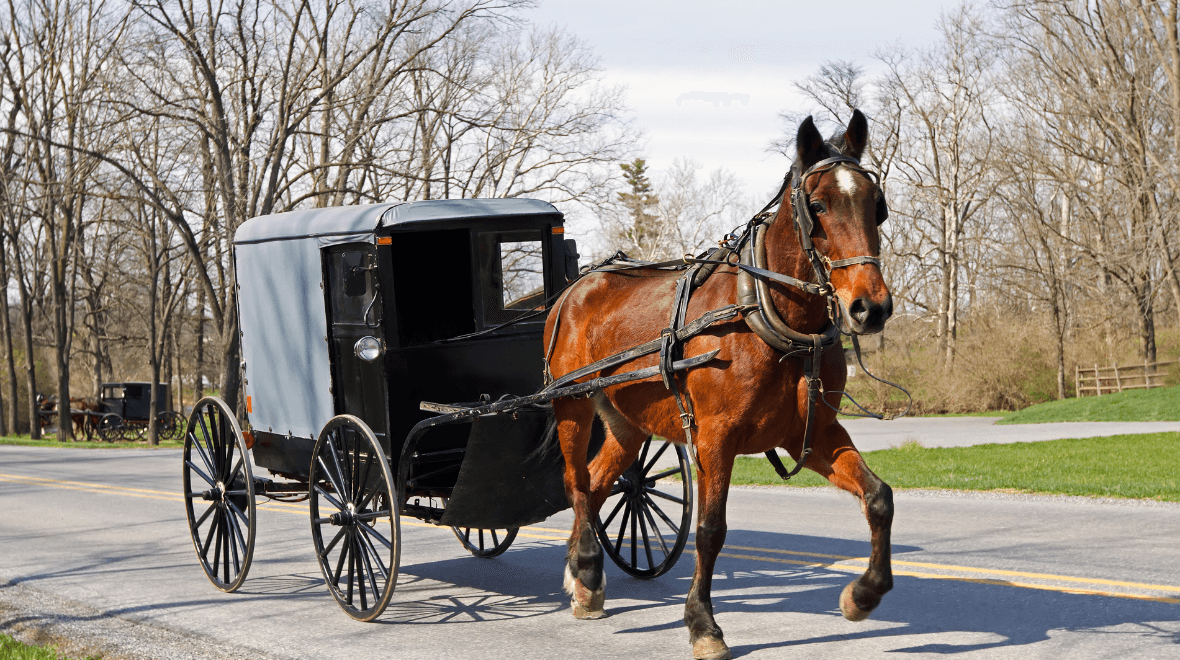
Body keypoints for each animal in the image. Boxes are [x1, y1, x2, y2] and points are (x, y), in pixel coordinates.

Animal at [544, 109, 894, 660]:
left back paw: (585, 580)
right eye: (817, 206)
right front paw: (703, 625)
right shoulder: (714, 437)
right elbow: (710, 530)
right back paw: (584, 566)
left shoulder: (812, 432)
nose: (870, 307)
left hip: (626, 421)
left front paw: (863, 595)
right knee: (577, 483)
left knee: (599, 482)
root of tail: (575, 287)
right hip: (573, 405)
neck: (767, 316)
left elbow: (879, 497)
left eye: (876, 207)